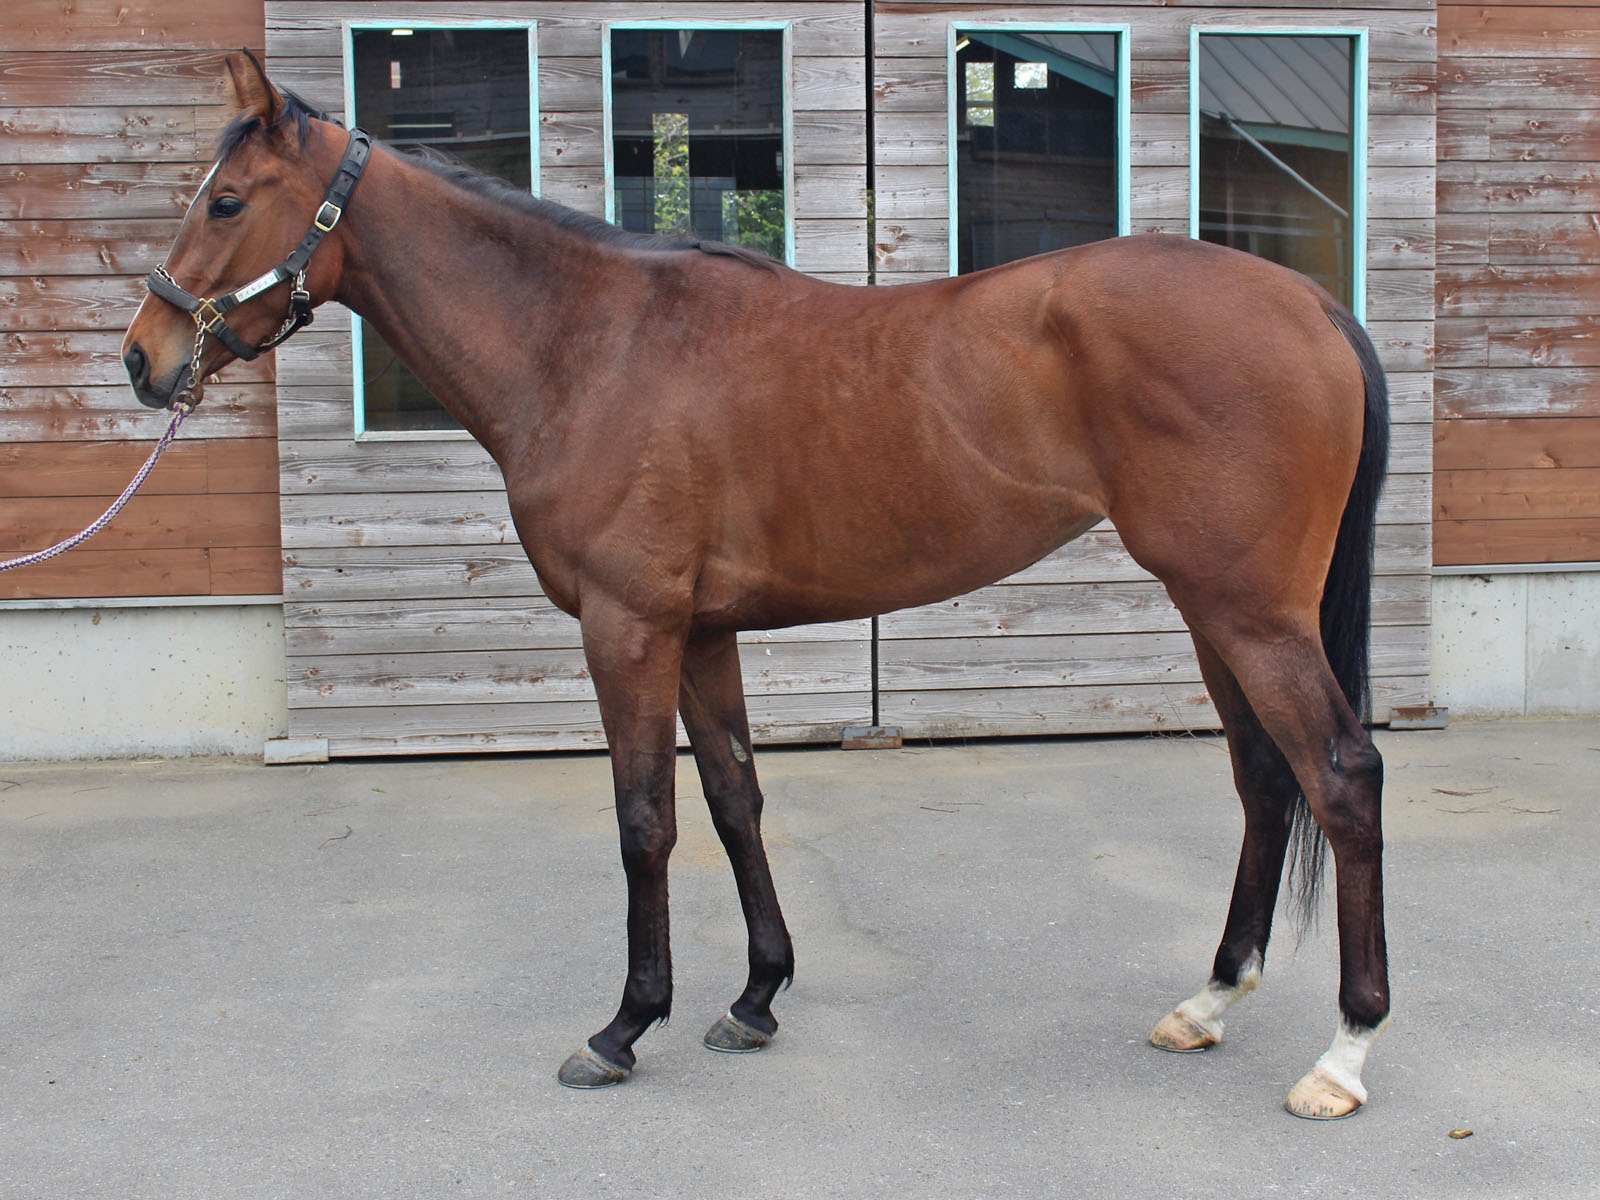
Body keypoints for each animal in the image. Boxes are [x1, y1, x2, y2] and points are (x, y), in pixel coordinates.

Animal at [123, 52, 1391, 1119]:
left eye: (225, 201)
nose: (143, 358)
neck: (587, 346)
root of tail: (1309, 302)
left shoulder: (628, 627)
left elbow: (645, 819)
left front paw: (624, 1026)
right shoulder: (699, 632)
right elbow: (735, 799)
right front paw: (754, 997)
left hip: (1248, 610)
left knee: (1338, 776)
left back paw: (1343, 1053)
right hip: (1212, 609)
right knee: (1263, 779)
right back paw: (1209, 1002)